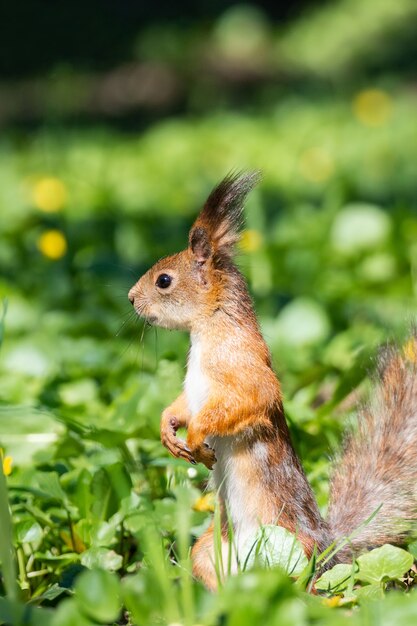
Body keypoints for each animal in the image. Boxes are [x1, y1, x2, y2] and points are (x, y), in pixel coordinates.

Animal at [128, 172, 416, 588]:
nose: (131, 298)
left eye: (164, 281)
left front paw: (196, 438)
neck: (209, 330)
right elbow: (180, 406)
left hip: (294, 551)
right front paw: (168, 431)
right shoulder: (193, 388)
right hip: (209, 550)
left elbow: (248, 402)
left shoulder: (247, 371)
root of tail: (329, 548)